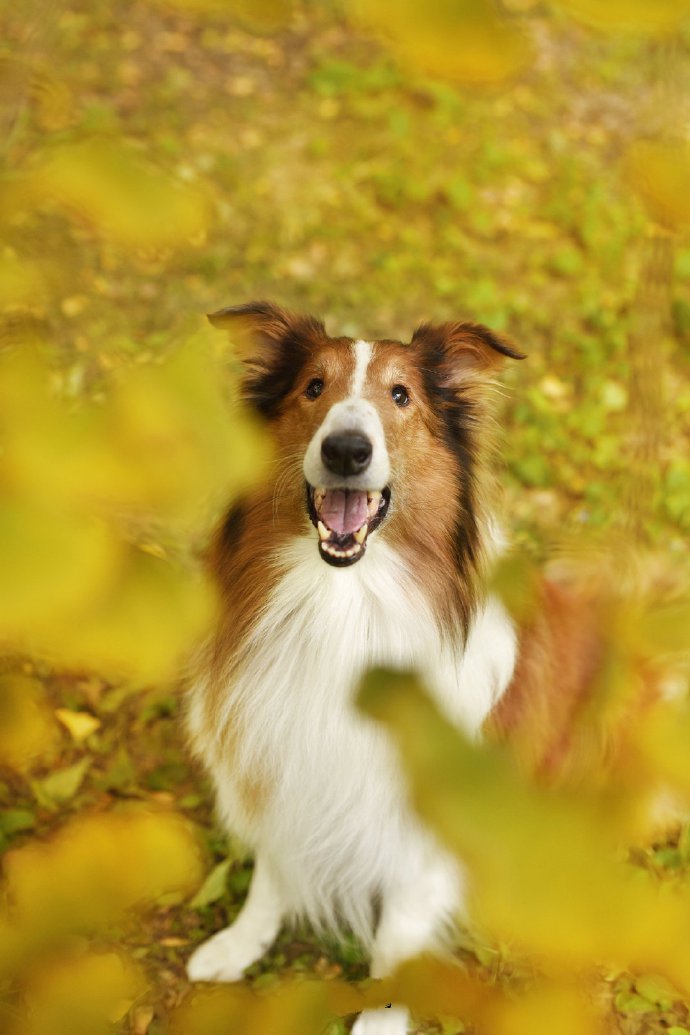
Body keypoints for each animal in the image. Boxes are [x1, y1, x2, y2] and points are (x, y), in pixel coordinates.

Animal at [186, 302, 525, 1035]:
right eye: (313, 387)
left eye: (401, 396)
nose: (347, 450)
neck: (343, 601)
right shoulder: (283, 760)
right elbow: (270, 877)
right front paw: (238, 945)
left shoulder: (422, 830)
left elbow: (397, 937)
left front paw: (381, 1018)